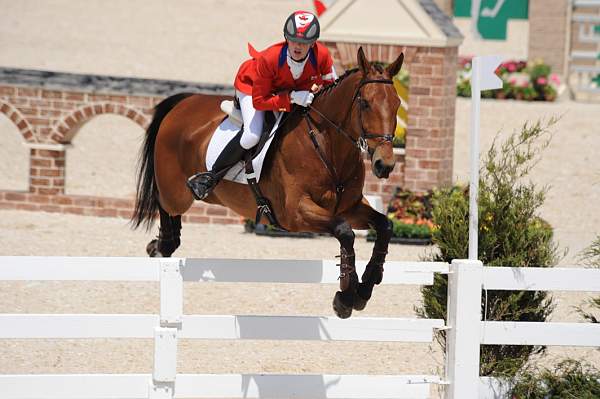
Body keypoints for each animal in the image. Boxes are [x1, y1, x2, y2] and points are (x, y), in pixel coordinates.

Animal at [131, 47, 404, 322]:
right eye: (365, 103)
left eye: (397, 104)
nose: (384, 164)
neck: (328, 146)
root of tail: (184, 102)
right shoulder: (296, 213)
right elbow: (344, 232)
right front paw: (346, 298)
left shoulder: (350, 208)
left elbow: (385, 226)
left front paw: (364, 288)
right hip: (175, 192)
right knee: (164, 204)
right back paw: (162, 245)